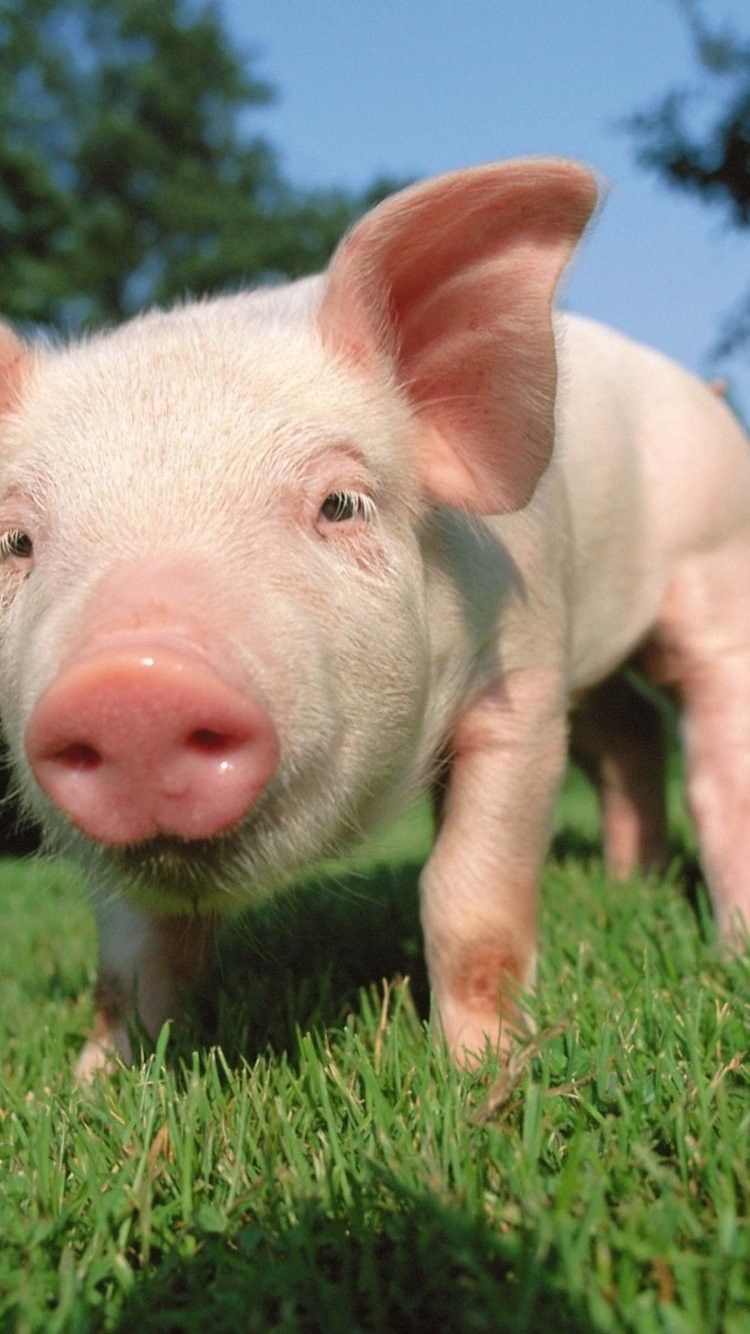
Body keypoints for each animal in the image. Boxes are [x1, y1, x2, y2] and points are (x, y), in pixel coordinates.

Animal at [0, 158, 748, 1080]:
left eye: (341, 503)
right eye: (16, 539)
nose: (132, 685)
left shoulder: (523, 676)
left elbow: (468, 891)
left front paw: (481, 1071)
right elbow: (133, 951)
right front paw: (96, 1083)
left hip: (716, 558)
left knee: (712, 745)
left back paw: (730, 946)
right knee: (631, 731)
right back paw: (624, 888)